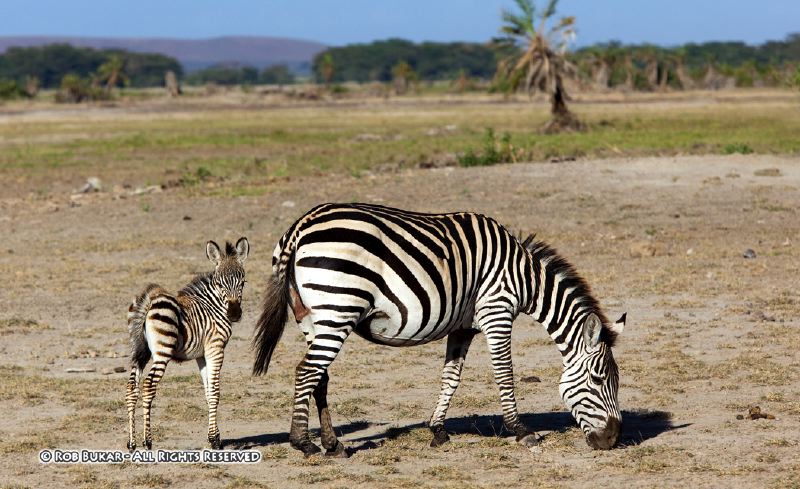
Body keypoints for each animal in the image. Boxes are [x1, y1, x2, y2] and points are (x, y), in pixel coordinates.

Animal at [125, 237, 249, 451]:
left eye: (242, 281)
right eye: (219, 283)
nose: (234, 314)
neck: (213, 305)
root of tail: (149, 300)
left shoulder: (202, 354)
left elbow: (207, 392)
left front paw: (214, 436)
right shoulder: (215, 348)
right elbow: (215, 392)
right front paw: (215, 441)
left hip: (139, 350)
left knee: (131, 388)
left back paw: (132, 443)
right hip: (162, 351)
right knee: (148, 386)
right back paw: (147, 441)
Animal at [252, 203, 625, 457]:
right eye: (599, 379)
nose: (612, 440)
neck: (524, 278)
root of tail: (301, 226)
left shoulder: (463, 327)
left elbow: (451, 377)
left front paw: (438, 430)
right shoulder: (497, 311)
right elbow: (504, 373)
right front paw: (521, 431)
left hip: (313, 317)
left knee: (320, 377)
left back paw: (333, 444)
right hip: (338, 309)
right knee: (306, 372)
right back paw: (303, 443)